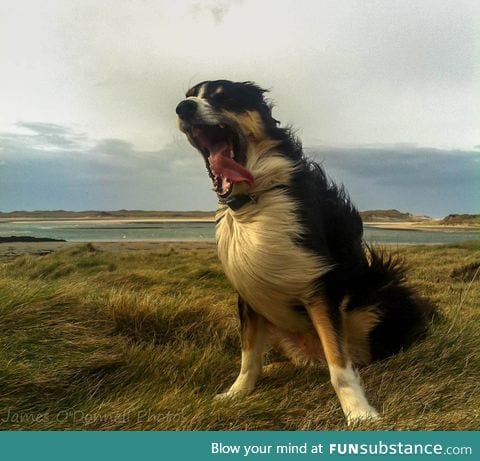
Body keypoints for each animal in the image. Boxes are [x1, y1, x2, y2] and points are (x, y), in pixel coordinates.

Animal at [176, 80, 436, 424]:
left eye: (223, 96)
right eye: (190, 95)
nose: (183, 108)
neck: (257, 197)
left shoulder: (319, 288)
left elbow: (340, 367)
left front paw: (360, 413)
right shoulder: (249, 293)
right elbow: (248, 357)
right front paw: (236, 393)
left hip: (382, 289)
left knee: (364, 356)